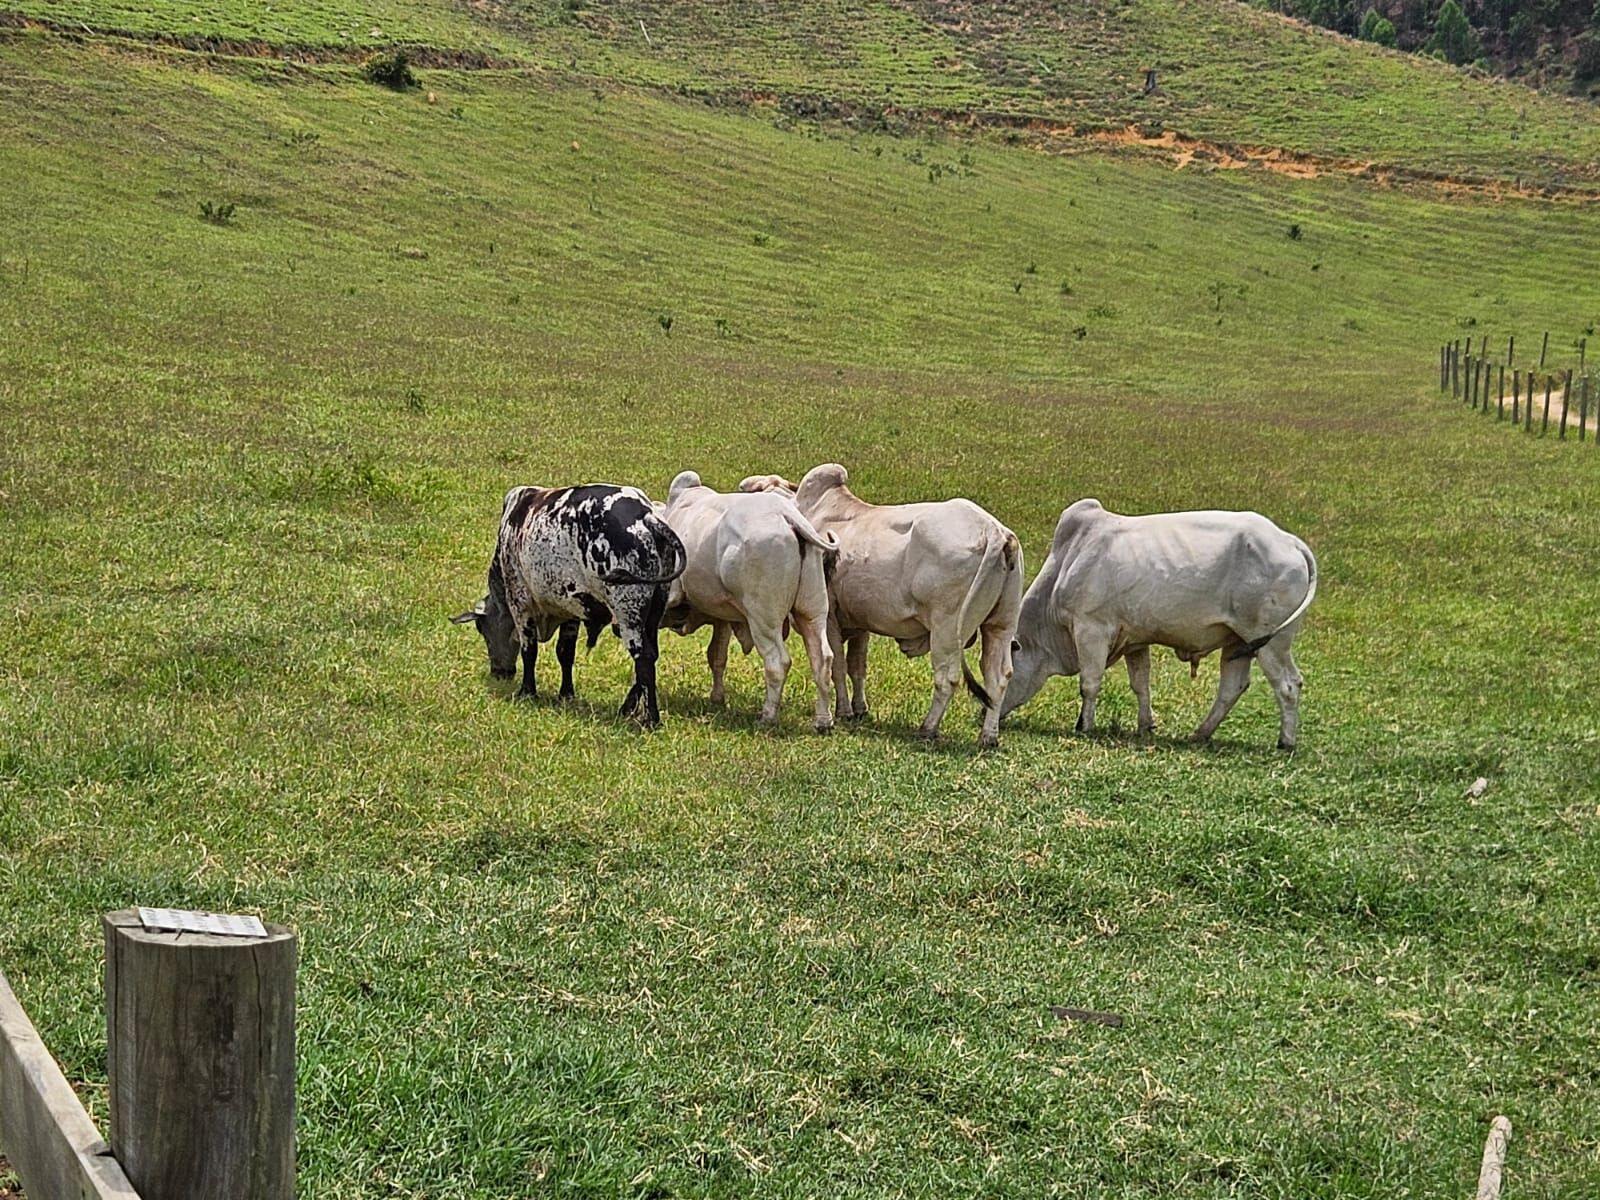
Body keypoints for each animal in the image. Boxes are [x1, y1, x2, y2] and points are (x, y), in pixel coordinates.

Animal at [451, 483, 688, 729]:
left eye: (482, 630)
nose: (499, 672)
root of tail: (646, 516)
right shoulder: (571, 609)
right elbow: (565, 653)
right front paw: (566, 693)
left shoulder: (520, 602)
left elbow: (529, 650)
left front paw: (527, 691)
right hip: (654, 610)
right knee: (652, 655)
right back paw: (627, 709)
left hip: (628, 613)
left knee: (644, 657)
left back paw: (651, 719)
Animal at [659, 470, 838, 732]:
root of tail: (787, 516)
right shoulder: (722, 617)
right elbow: (717, 655)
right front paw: (717, 698)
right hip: (812, 611)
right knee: (822, 659)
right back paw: (823, 721)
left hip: (763, 618)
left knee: (778, 663)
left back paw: (768, 716)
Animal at [739, 464, 1024, 748]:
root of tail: (994, 531)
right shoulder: (860, 624)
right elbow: (857, 667)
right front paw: (859, 709)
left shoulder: (830, 619)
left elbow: (838, 667)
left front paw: (843, 711)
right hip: (1000, 626)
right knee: (999, 678)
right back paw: (988, 736)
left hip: (946, 628)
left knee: (948, 678)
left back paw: (928, 729)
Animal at [1004, 499, 1318, 748]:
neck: (1068, 562)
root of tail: (1289, 541)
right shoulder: (1133, 641)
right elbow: (1141, 685)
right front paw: (1145, 725)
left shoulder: (1090, 630)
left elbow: (1089, 683)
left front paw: (1084, 726)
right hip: (1239, 643)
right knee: (1232, 688)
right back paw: (1201, 733)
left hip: (1271, 641)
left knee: (1289, 684)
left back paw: (1286, 741)